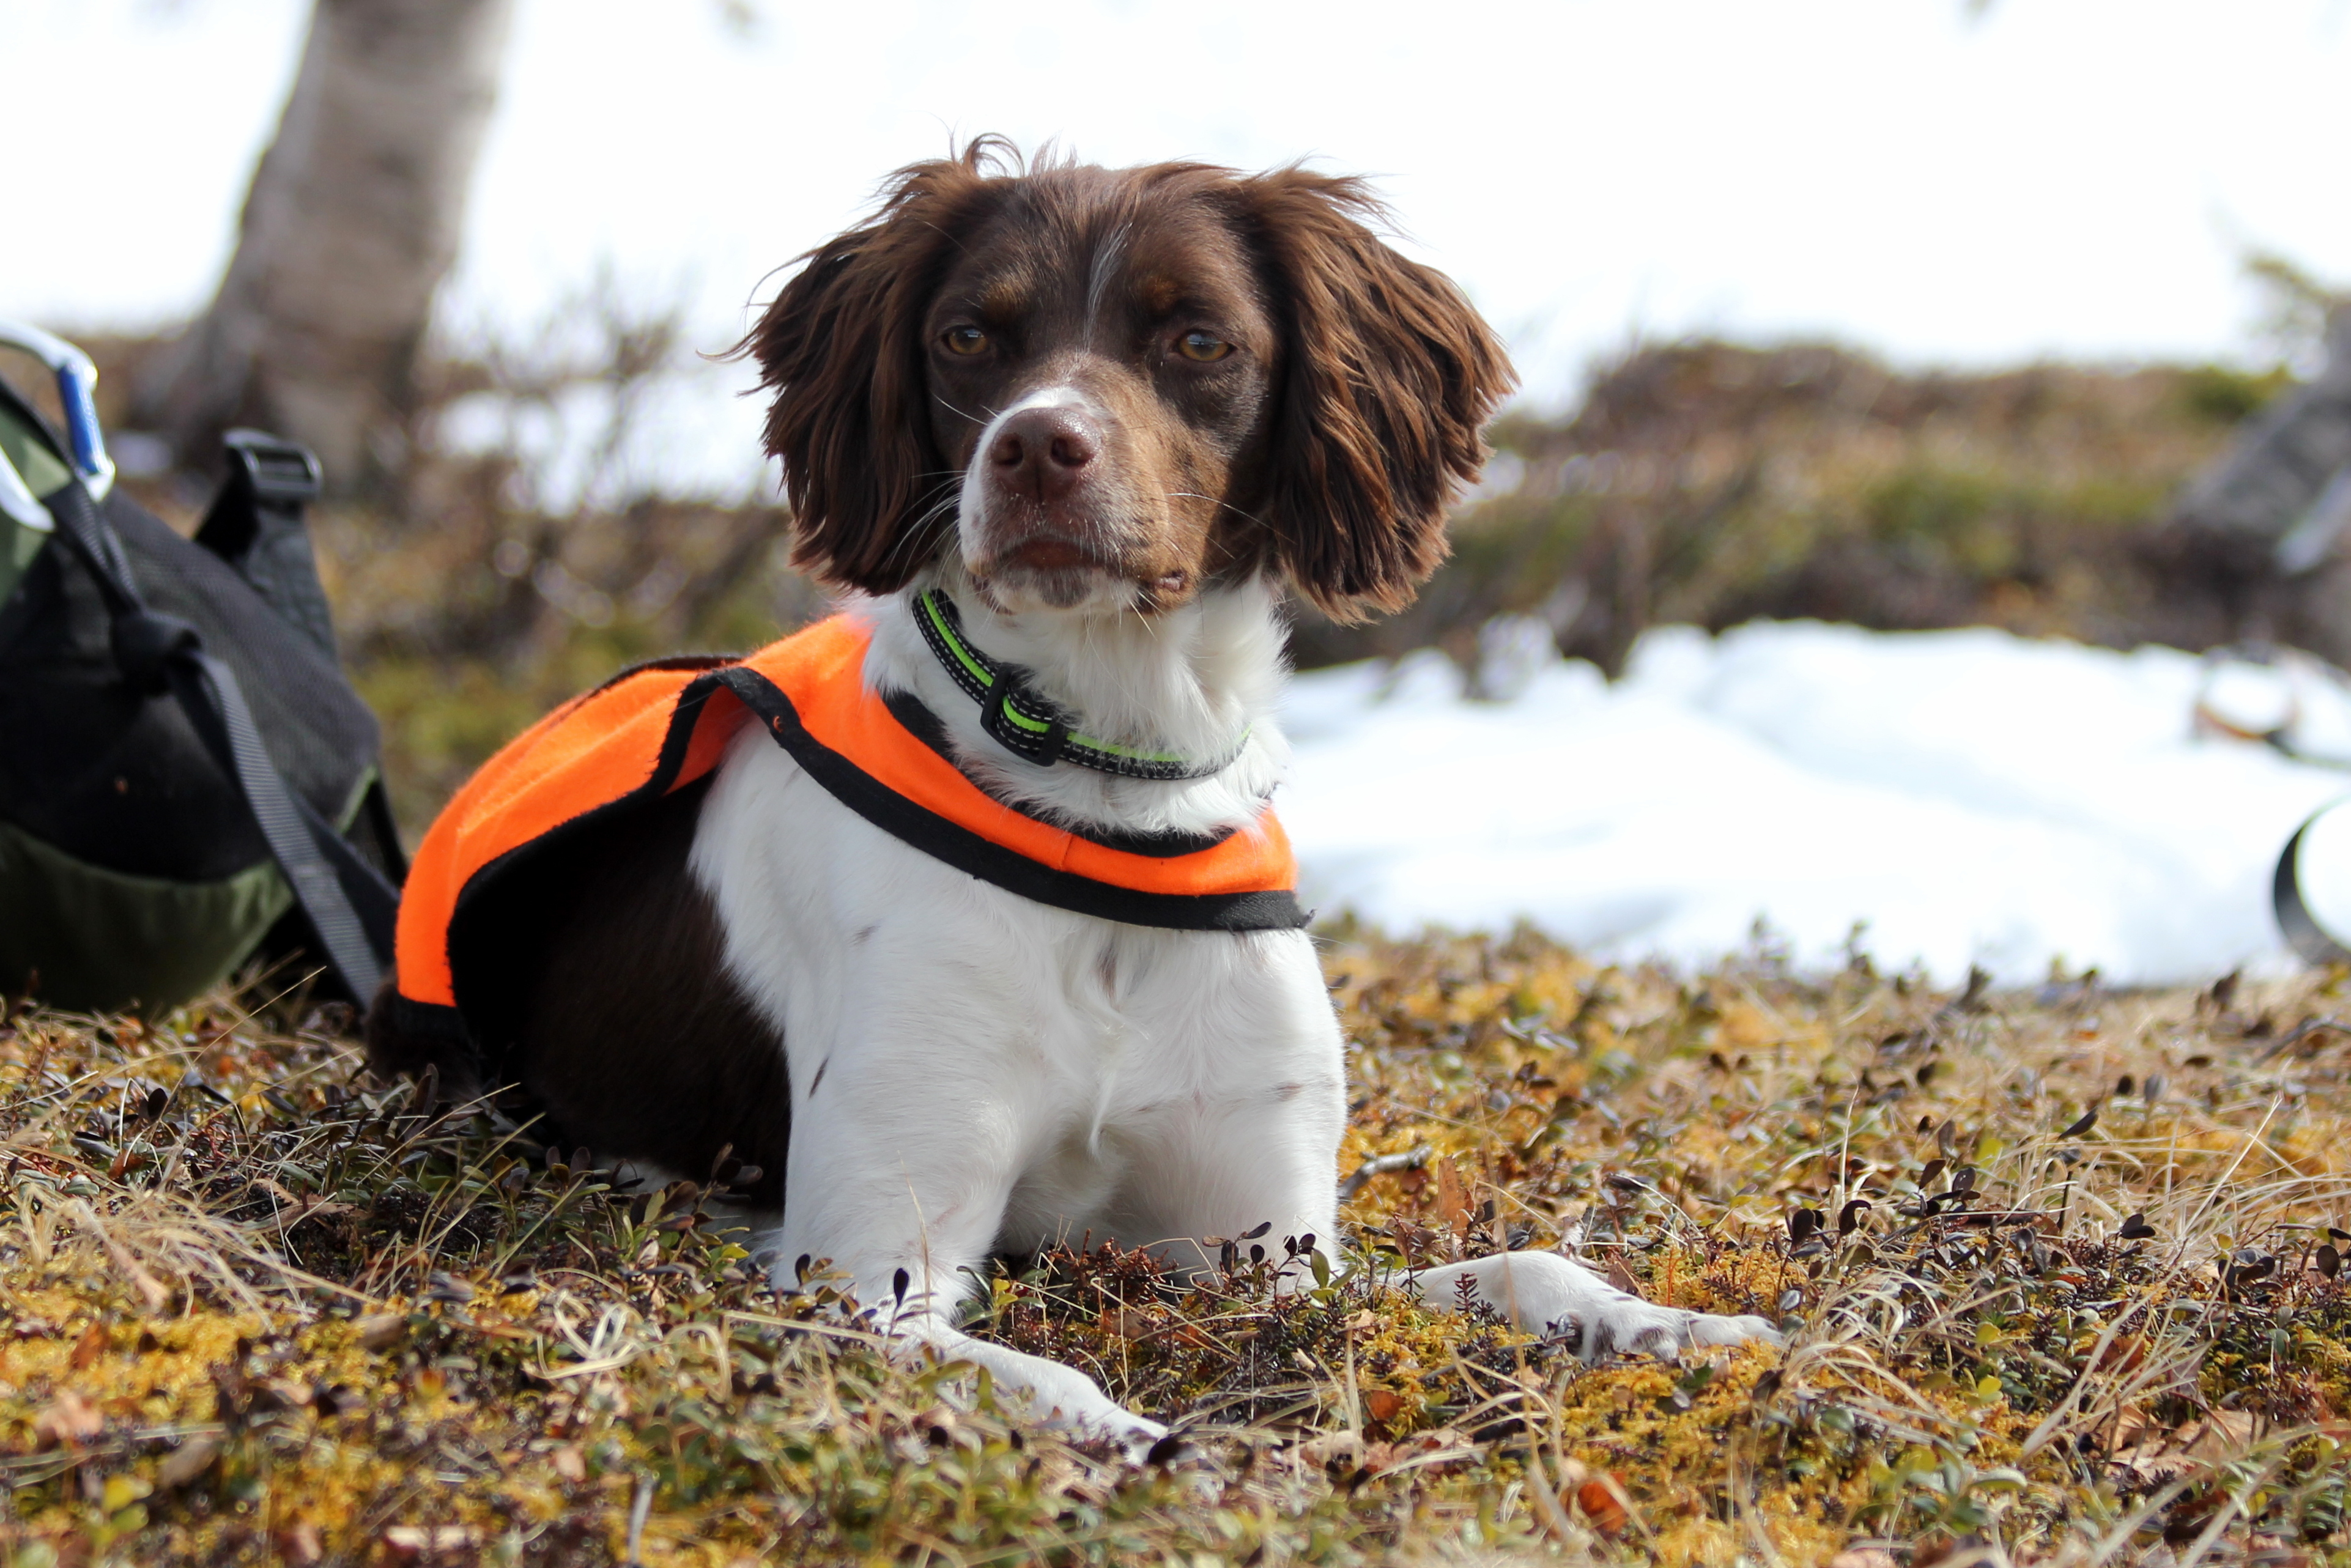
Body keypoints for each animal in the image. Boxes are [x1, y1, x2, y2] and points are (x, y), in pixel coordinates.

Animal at [366, 147, 1768, 1448]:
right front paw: (1153, 1449)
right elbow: (1046, 1381)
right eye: (967, 335)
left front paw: (1670, 1322)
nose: (1037, 445)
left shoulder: (1266, 1244)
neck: (1107, 802)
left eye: (1197, 338)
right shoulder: (865, 1276)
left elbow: (1519, 1264)